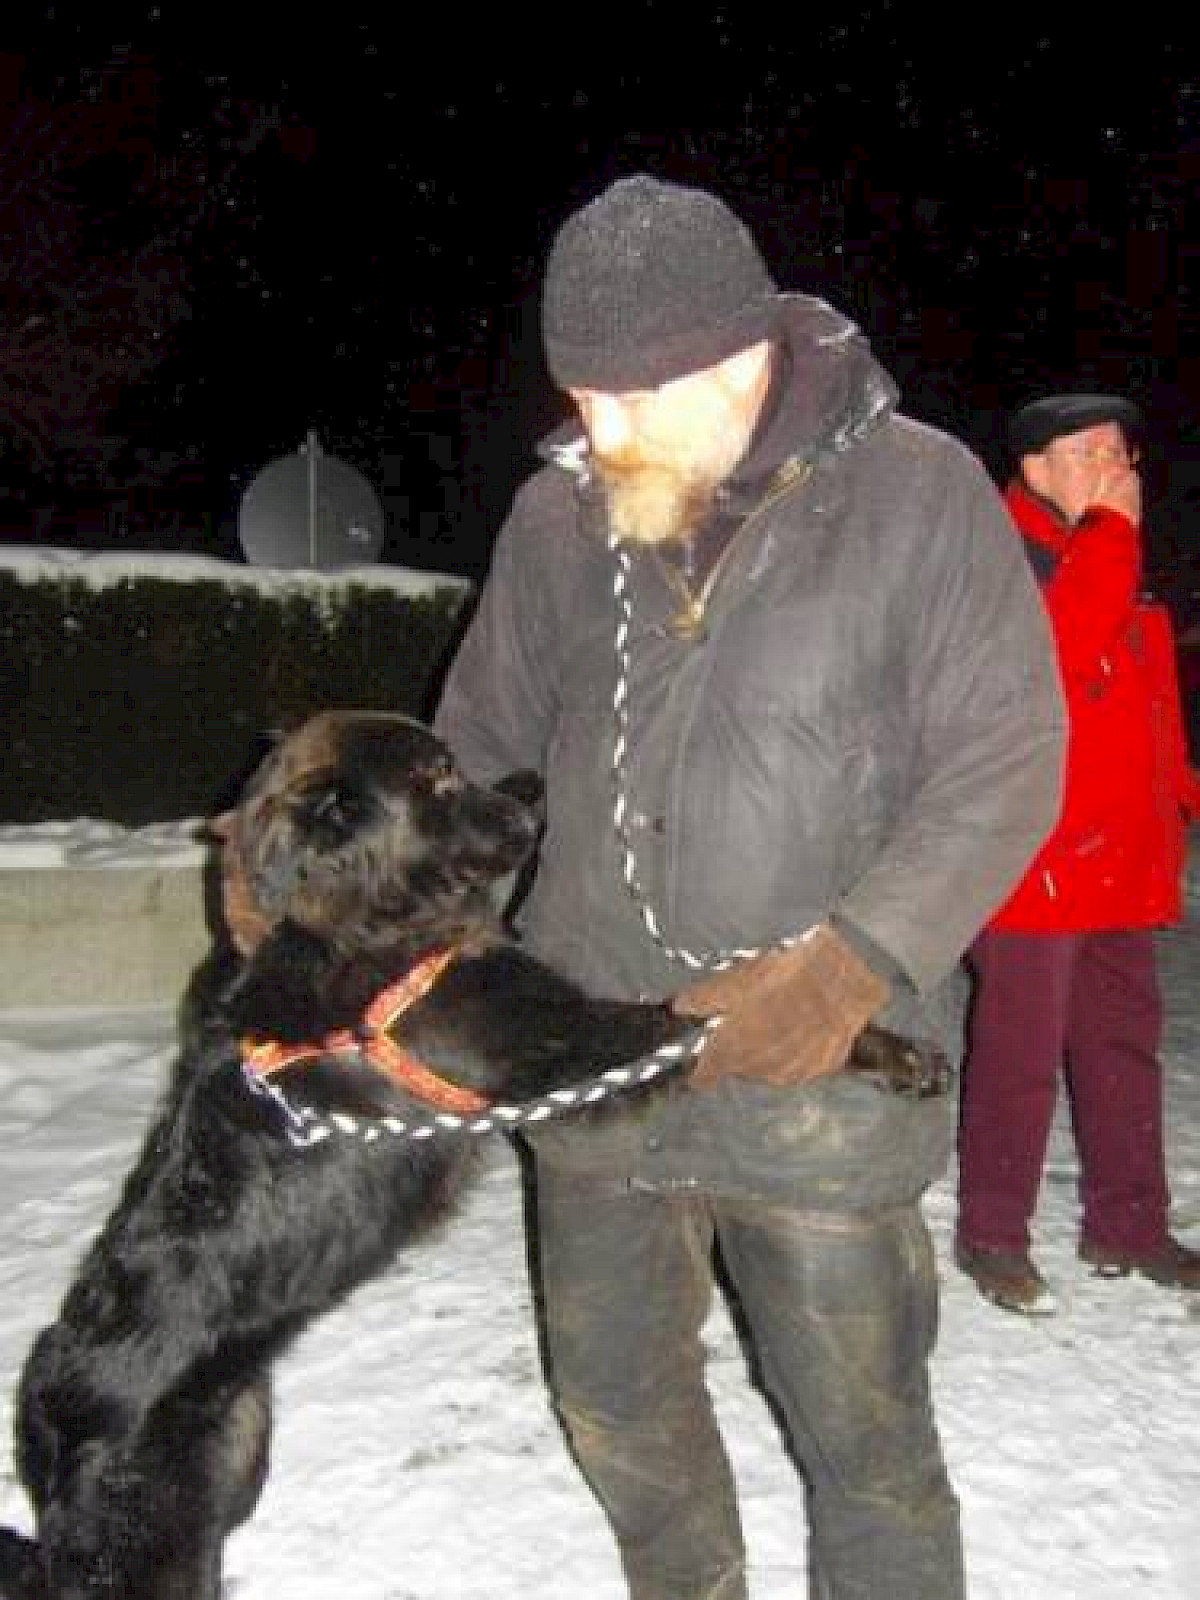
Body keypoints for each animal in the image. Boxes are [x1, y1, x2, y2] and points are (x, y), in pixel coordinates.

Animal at [0, 709, 948, 1598]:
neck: (364, 926)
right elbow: (702, 1021)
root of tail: (46, 1428)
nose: (532, 784)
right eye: (440, 778)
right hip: (157, 1540)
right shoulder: (557, 1046)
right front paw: (886, 1047)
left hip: (241, 1450)